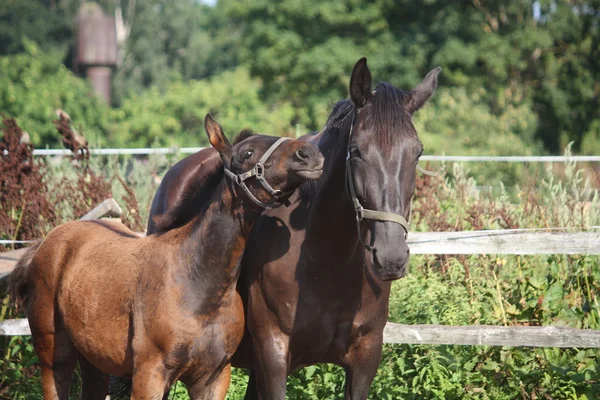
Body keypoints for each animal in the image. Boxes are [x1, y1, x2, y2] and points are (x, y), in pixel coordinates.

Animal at [8, 114, 324, 398]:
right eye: (247, 153)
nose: (309, 154)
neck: (198, 281)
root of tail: (46, 242)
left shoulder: (213, 378)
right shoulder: (150, 374)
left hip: (94, 360)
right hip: (53, 354)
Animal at [148, 57, 442, 398]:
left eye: (417, 152)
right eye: (357, 151)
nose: (391, 256)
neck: (328, 260)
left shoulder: (366, 356)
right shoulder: (273, 353)